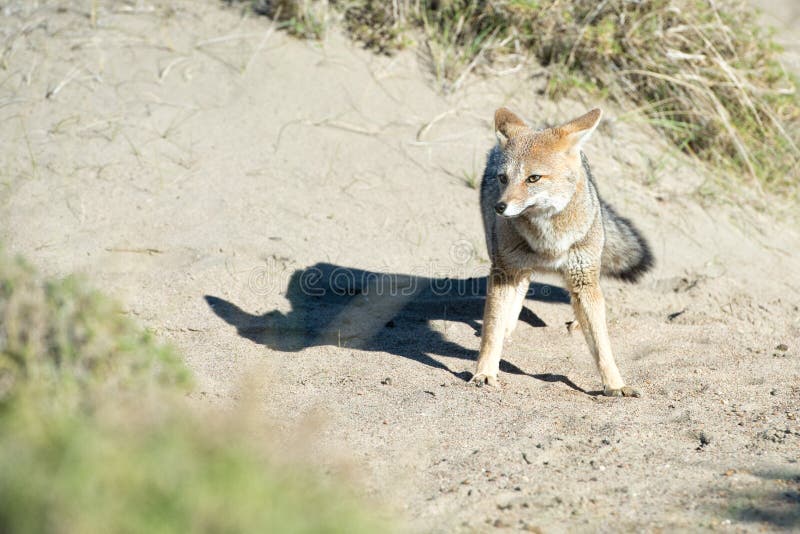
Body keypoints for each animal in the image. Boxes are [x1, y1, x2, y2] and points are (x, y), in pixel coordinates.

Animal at [473, 107, 653, 396]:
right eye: (503, 178)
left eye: (533, 178)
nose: (499, 207)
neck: (548, 240)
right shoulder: (503, 271)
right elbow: (492, 330)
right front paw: (485, 372)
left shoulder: (583, 280)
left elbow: (602, 344)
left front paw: (616, 385)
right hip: (504, 260)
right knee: (520, 287)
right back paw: (509, 327)